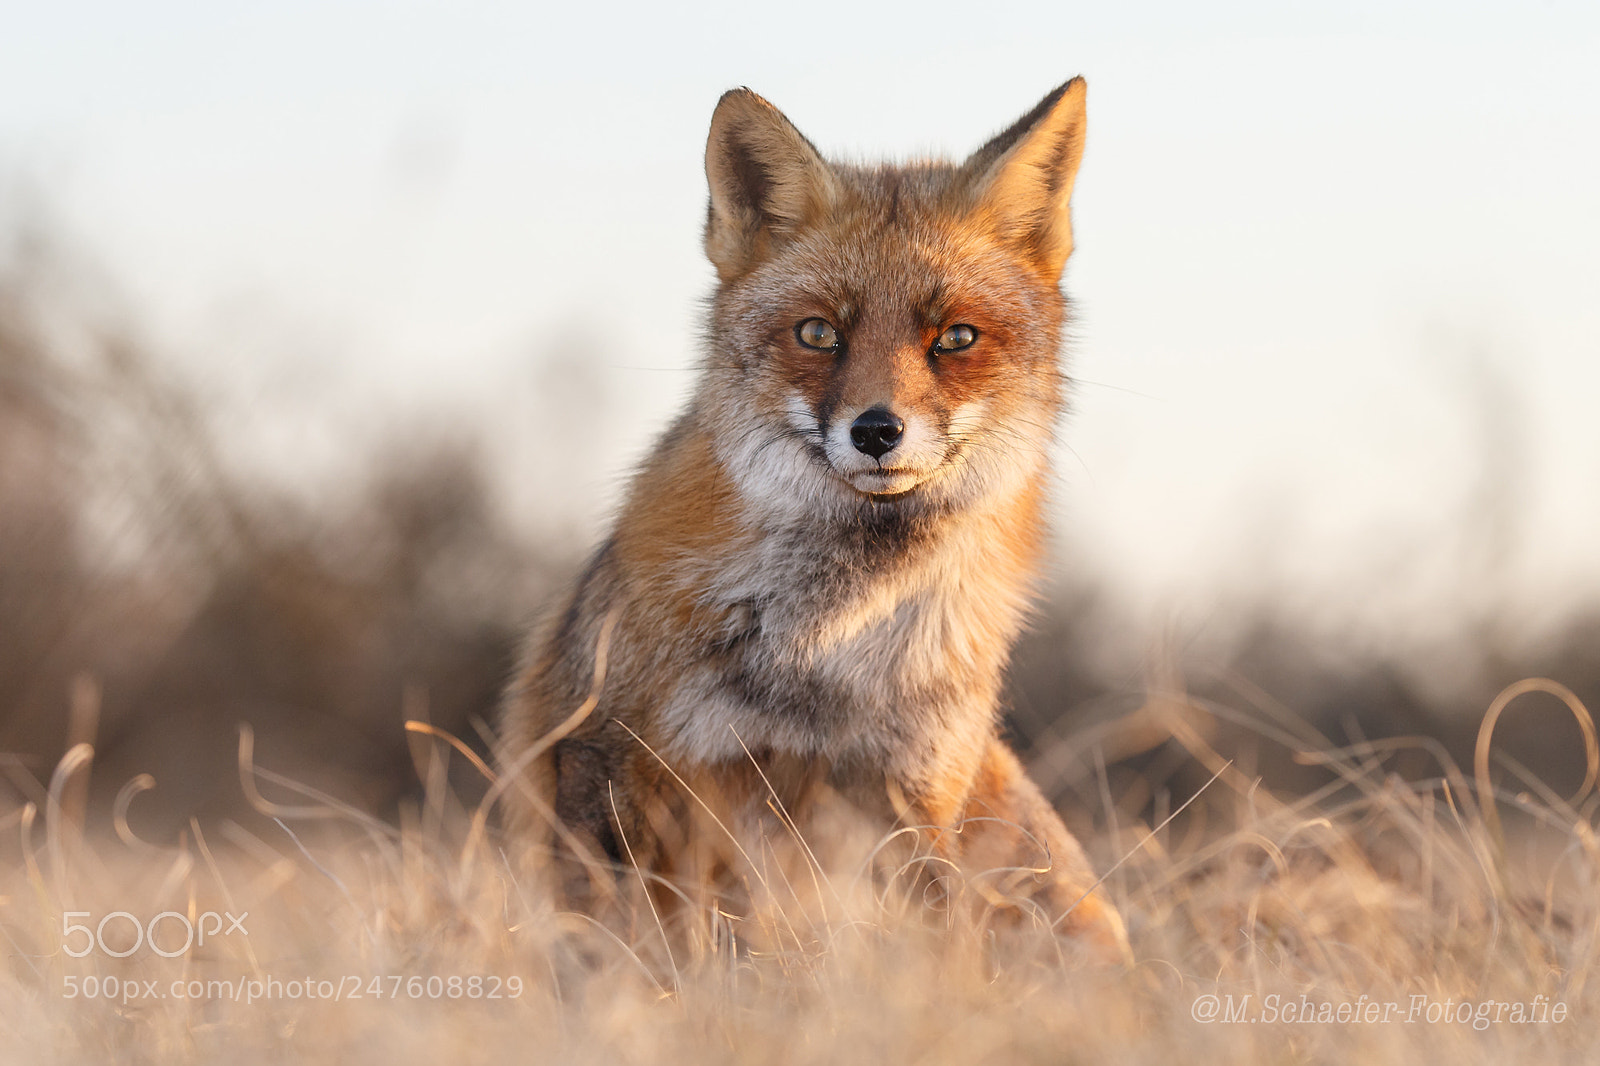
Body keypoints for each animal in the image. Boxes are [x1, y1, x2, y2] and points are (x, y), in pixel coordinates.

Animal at [500, 77, 1129, 959]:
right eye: (819, 333)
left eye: (954, 338)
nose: (877, 430)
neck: (830, 640)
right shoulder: (619, 754)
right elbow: (634, 943)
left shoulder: (913, 791)